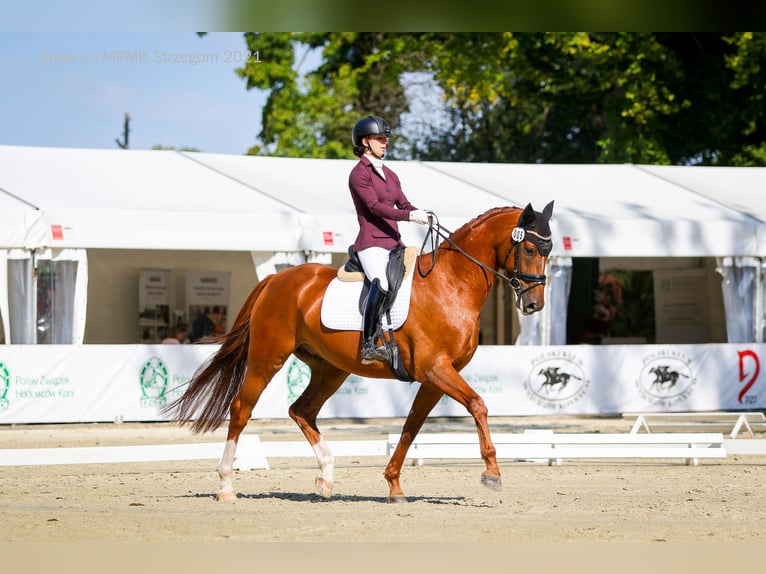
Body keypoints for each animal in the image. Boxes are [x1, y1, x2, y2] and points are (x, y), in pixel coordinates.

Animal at [165, 202, 556, 504]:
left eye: (549, 252)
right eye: (531, 250)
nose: (534, 305)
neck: (452, 282)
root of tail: (276, 279)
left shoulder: (434, 378)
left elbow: (411, 427)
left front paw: (394, 485)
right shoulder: (435, 369)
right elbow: (477, 405)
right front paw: (492, 473)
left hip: (330, 369)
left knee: (301, 410)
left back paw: (325, 478)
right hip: (267, 358)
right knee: (241, 409)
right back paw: (226, 485)